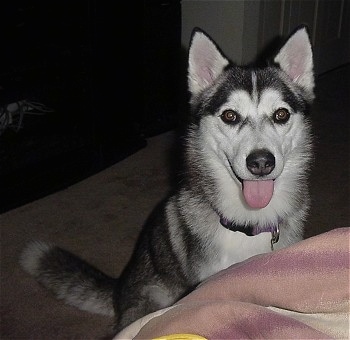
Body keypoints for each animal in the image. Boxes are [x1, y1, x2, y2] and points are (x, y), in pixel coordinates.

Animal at [19, 25, 314, 334]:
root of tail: (118, 292)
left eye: (281, 114)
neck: (249, 223)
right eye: (230, 116)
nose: (261, 162)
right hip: (153, 294)